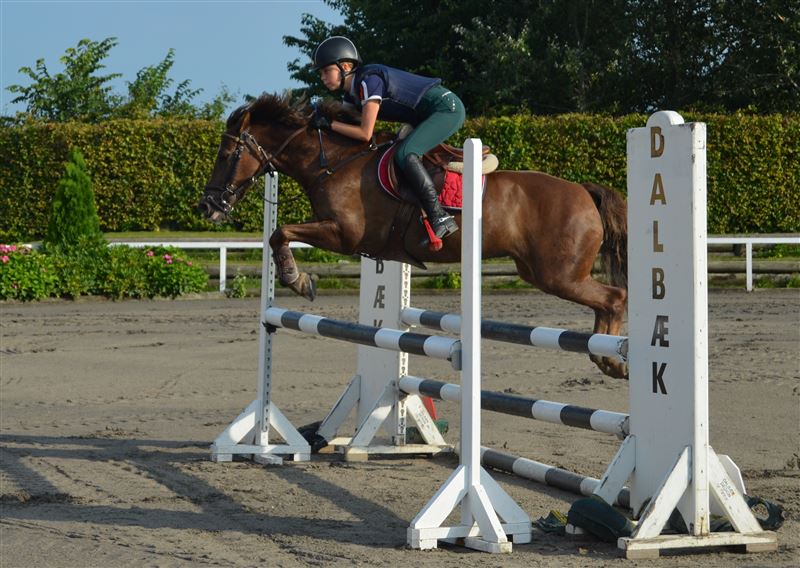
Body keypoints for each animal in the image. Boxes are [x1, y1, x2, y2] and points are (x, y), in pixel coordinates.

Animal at [199, 93, 629, 378]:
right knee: (607, 302)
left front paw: (297, 278)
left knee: (614, 297)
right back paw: (607, 359)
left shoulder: (344, 235)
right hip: (540, 271)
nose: (208, 206)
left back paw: (611, 358)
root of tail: (583, 191)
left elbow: (280, 233)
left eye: (226, 154)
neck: (334, 161)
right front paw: (298, 277)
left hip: (558, 274)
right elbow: (280, 233)